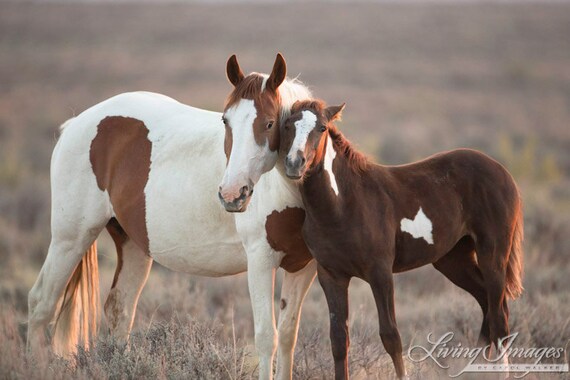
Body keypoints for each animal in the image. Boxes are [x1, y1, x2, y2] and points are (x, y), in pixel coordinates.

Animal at [27, 54, 316, 380]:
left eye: (269, 123)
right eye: (226, 121)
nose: (232, 194)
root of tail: (76, 124)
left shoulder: (303, 267)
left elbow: (288, 336)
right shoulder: (261, 261)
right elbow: (267, 337)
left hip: (132, 245)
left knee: (119, 309)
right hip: (70, 238)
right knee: (41, 303)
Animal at [278, 99, 520, 378]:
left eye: (321, 128)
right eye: (287, 125)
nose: (295, 163)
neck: (343, 204)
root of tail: (502, 171)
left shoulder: (380, 272)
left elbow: (391, 336)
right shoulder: (331, 276)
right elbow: (338, 339)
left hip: (493, 254)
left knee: (500, 318)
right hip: (453, 260)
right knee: (486, 304)